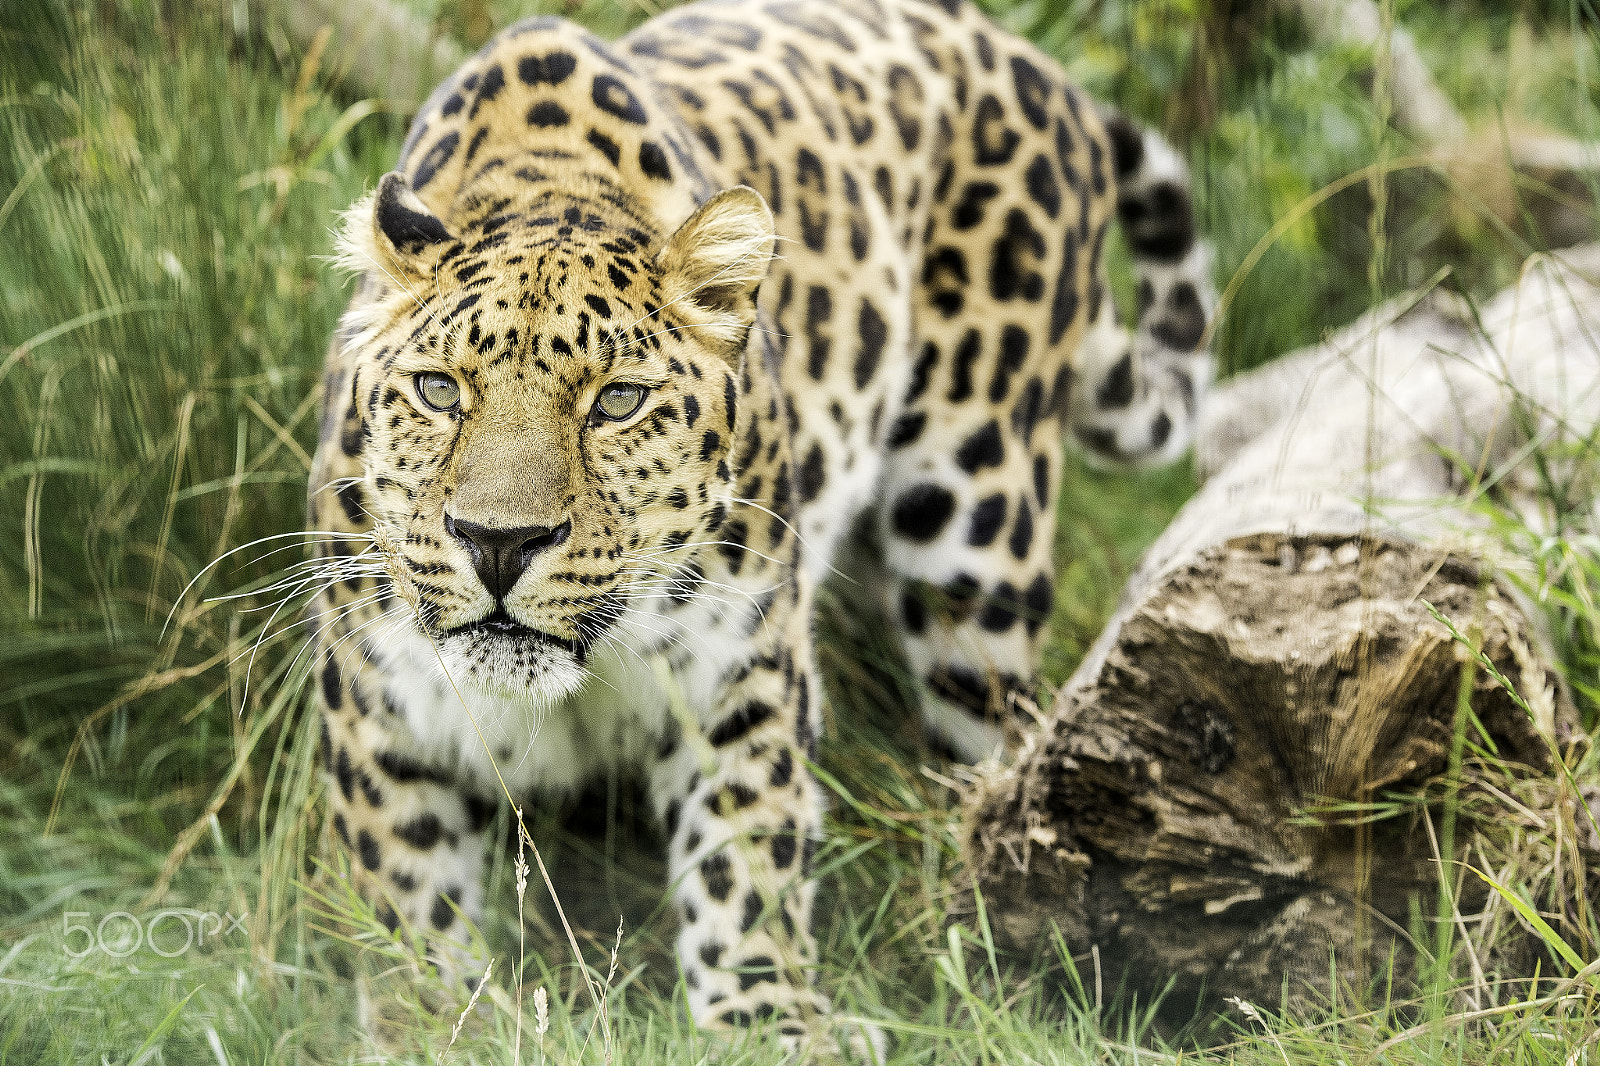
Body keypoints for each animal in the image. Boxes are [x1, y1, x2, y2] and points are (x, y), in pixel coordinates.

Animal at [305, 0, 1214, 1050]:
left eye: (617, 402)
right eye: (440, 391)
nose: (497, 543)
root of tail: (1022, 54)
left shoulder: (744, 666)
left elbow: (746, 854)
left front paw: (767, 1019)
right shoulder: (379, 700)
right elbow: (407, 885)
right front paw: (431, 1023)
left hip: (977, 532)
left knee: (996, 739)